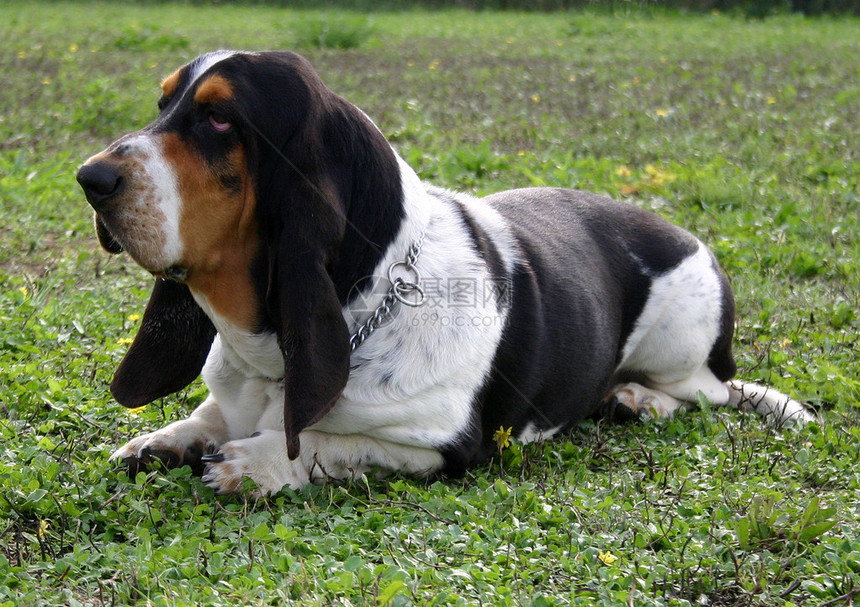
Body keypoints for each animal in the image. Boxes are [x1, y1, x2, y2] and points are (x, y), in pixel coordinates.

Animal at [77, 50, 808, 496]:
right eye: (165, 104)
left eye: (219, 118)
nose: (89, 179)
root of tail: (685, 234)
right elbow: (210, 413)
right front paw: (163, 440)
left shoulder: (445, 447)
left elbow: (325, 440)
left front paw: (255, 461)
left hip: (681, 339)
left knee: (706, 390)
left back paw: (639, 397)